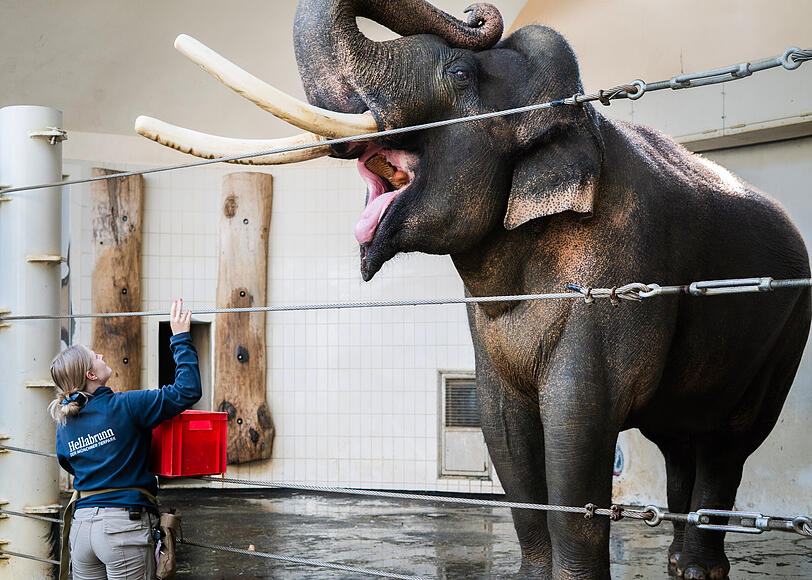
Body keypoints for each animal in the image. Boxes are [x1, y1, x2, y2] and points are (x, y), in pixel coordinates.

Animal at [134, 1, 810, 577]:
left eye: (459, 73)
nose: (477, 13)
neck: (581, 118)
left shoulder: (617, 270)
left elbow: (576, 422)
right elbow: (503, 426)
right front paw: (532, 576)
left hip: (784, 335)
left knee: (729, 442)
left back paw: (697, 567)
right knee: (678, 441)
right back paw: (677, 558)